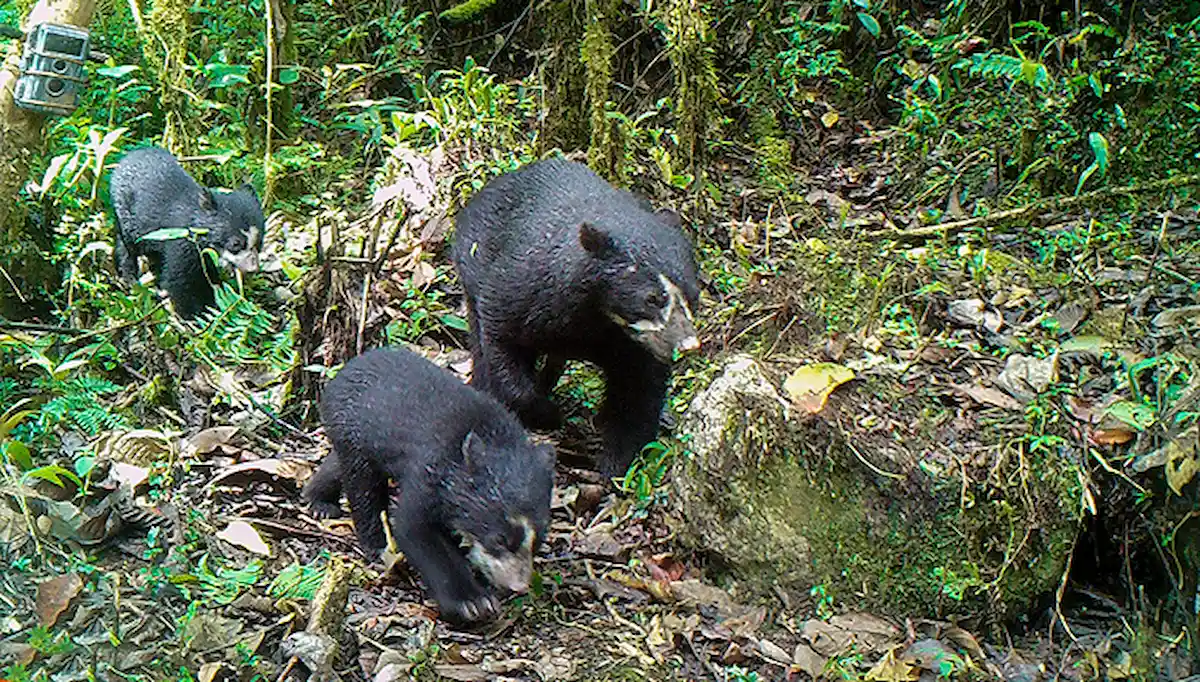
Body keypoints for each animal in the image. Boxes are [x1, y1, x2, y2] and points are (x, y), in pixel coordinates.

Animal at [109, 146, 265, 320]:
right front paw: (192, 316)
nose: (252, 269)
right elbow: (179, 280)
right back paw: (129, 278)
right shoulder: (181, 243)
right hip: (126, 215)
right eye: (235, 244)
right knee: (128, 246)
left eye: (259, 243)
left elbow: (207, 277)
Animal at [306, 346, 556, 623]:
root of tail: (343, 372)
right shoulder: (429, 470)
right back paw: (371, 540)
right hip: (353, 429)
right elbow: (414, 528)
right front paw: (472, 603)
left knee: (338, 466)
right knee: (363, 487)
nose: (518, 586)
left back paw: (320, 502)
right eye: (499, 539)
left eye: (539, 540)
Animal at [450, 157, 701, 481]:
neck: (597, 315)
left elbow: (640, 390)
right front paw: (547, 414)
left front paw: (617, 464)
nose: (687, 345)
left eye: (693, 296)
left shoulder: (633, 345)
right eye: (651, 299)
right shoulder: (521, 290)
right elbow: (502, 341)